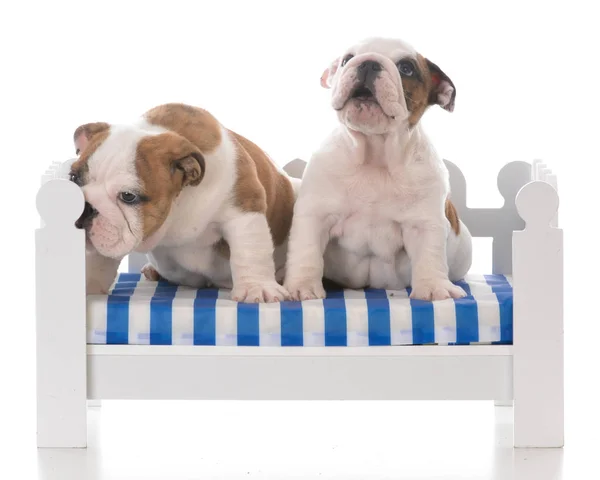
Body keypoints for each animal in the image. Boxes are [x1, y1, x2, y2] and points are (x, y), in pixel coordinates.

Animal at [71, 103, 296, 302]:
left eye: (128, 196)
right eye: (73, 178)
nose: (86, 207)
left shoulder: (244, 209)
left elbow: (250, 251)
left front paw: (257, 287)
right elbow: (98, 261)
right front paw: (88, 286)